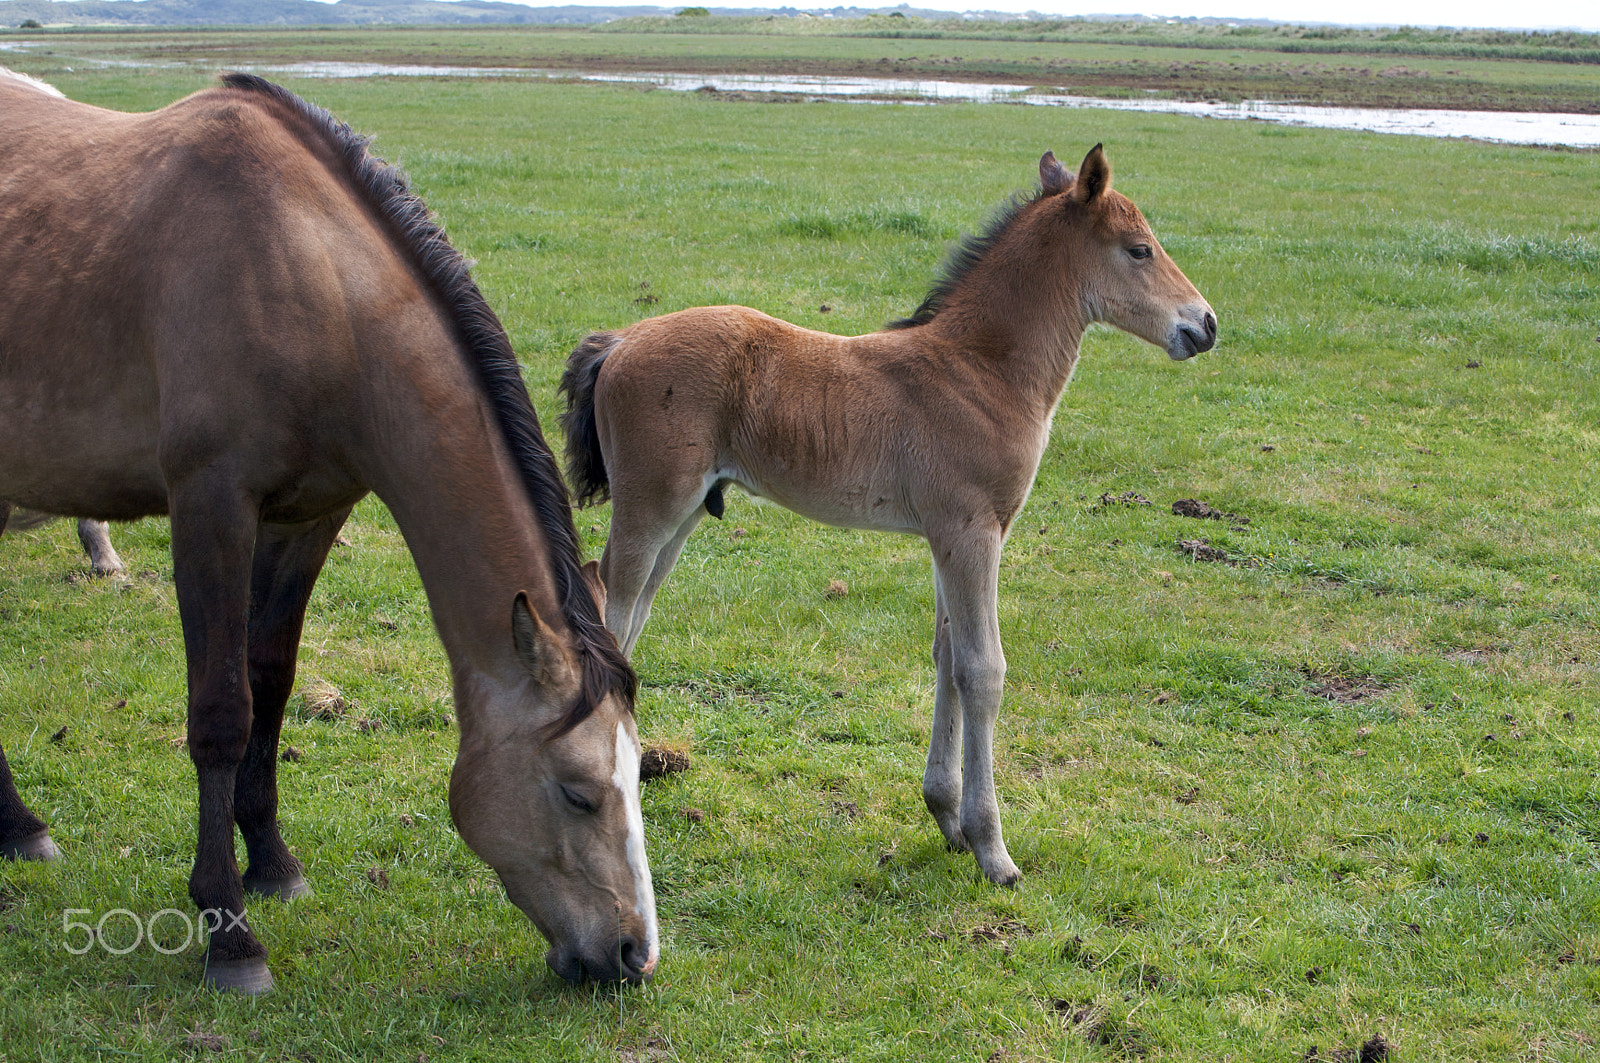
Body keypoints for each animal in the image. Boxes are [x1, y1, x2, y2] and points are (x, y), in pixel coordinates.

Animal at [0, 70, 655, 992]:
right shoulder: (211, 505)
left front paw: (273, 864)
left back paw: (15, 825)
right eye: (577, 791)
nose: (634, 952)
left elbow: (270, 682)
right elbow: (222, 710)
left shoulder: (311, 516)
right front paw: (228, 928)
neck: (308, 277)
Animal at [560, 145, 1215, 886]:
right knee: (612, 615)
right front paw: (994, 849)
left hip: (681, 517)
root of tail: (619, 341)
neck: (981, 371)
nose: (1205, 324)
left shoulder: (948, 537)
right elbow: (982, 669)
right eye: (1140, 248)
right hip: (651, 507)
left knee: (630, 613)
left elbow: (947, 656)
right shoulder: (974, 532)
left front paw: (948, 818)